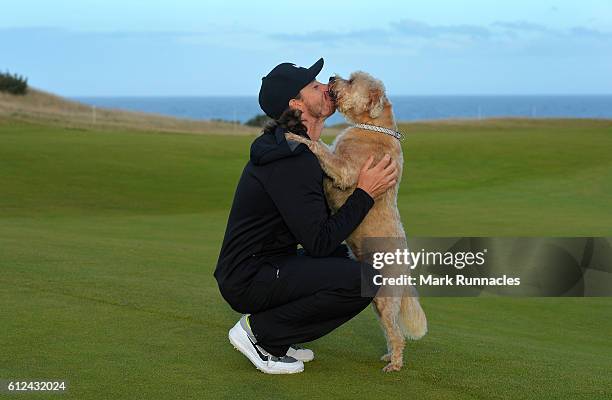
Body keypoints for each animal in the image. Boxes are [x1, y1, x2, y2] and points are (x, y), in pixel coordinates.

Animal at [286, 71, 426, 372]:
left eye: (351, 81)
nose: (331, 77)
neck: (373, 126)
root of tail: (406, 271)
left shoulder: (347, 169)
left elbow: (320, 148)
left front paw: (297, 136)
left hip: (385, 297)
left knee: (396, 333)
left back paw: (394, 364)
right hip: (376, 301)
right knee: (390, 329)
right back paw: (388, 356)